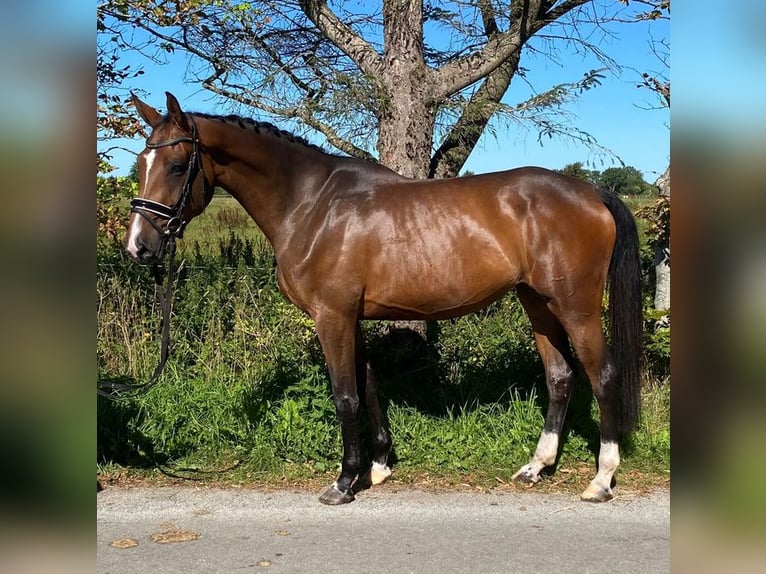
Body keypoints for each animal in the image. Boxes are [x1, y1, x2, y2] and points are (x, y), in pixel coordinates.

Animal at [125, 92, 642, 505]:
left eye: (177, 166)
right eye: (139, 165)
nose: (138, 247)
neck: (312, 205)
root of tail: (591, 191)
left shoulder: (332, 316)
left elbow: (345, 395)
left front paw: (342, 483)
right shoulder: (350, 317)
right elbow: (369, 385)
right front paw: (376, 468)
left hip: (575, 308)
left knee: (603, 376)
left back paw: (601, 479)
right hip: (537, 302)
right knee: (560, 376)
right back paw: (536, 467)